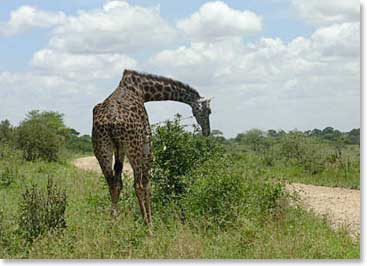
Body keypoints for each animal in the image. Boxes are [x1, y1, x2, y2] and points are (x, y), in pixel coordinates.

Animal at [92, 69, 213, 232]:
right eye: (209, 111)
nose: (207, 131)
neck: (143, 90)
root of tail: (110, 122)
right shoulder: (147, 140)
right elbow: (147, 183)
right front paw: (150, 222)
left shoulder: (120, 149)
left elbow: (118, 183)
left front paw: (115, 220)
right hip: (134, 146)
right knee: (138, 185)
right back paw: (148, 227)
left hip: (102, 148)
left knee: (112, 183)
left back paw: (112, 223)